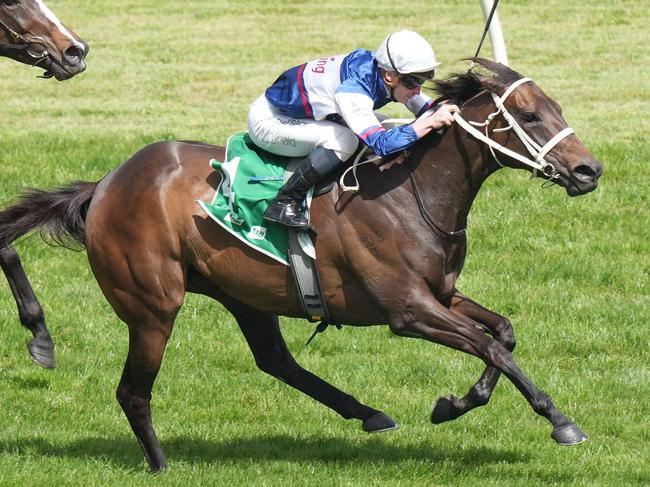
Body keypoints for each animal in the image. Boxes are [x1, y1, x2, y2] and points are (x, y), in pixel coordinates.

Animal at [0, 58, 600, 472]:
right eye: (529, 115)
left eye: (558, 109)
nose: (589, 170)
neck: (411, 193)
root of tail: (105, 183)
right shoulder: (408, 310)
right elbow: (492, 346)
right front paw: (559, 421)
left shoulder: (442, 293)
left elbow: (504, 333)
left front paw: (456, 403)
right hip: (153, 307)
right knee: (133, 390)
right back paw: (161, 463)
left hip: (244, 293)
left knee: (276, 361)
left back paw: (369, 413)